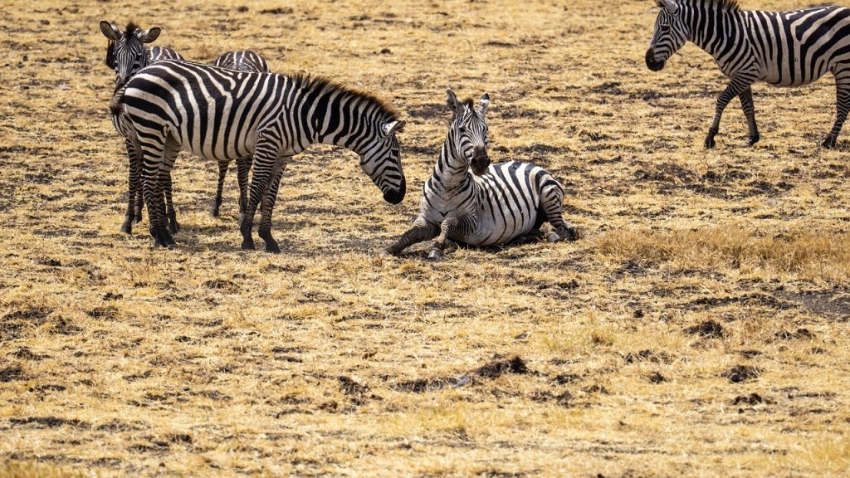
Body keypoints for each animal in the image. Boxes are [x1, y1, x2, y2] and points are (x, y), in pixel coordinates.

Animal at [100, 21, 185, 234]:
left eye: (138, 57)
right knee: (141, 171)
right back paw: (139, 211)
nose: (116, 105)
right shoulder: (129, 137)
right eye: (115, 57)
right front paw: (129, 219)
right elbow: (134, 177)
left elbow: (163, 177)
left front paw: (169, 219)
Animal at [116, 60, 407, 252]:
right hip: (150, 128)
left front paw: (268, 238)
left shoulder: (282, 155)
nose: (401, 195)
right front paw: (247, 236)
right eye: (395, 153)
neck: (306, 115)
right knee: (148, 180)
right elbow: (256, 190)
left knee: (155, 179)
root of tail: (138, 74)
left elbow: (271, 194)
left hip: (167, 137)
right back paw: (158, 235)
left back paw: (164, 233)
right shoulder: (268, 143)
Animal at [383, 89, 577, 260]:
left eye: (486, 130)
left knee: (563, 230)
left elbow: (448, 222)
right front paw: (391, 248)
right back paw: (524, 236)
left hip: (549, 196)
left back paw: (551, 235)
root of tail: (528, 163)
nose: (481, 162)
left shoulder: (473, 222)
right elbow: (410, 233)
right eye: (462, 130)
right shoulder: (426, 219)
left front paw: (437, 247)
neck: (448, 184)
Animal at [646, 0, 850, 148]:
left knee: (843, 105)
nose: (649, 62)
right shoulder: (742, 74)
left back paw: (829, 141)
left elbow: (721, 99)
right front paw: (753, 137)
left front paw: (710, 136)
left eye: (664, 28)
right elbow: (748, 107)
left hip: (843, 65)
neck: (727, 34)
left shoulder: (747, 72)